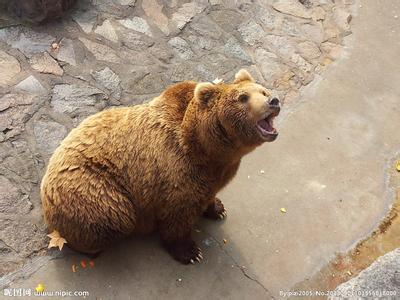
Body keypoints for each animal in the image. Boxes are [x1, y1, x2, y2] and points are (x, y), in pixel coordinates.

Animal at [39, 69, 278, 264]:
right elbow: (178, 216)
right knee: (114, 216)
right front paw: (190, 252)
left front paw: (217, 208)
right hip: (91, 188)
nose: (274, 100)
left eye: (262, 90)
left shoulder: (215, 173)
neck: (206, 150)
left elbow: (210, 193)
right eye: (243, 97)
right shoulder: (175, 173)